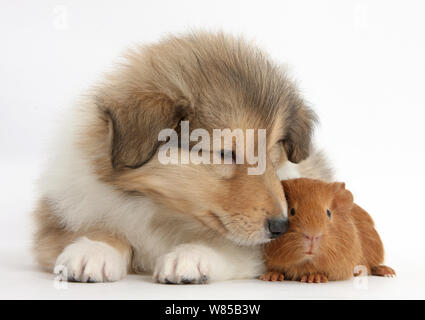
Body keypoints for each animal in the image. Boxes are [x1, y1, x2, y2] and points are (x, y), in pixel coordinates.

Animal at [33, 31, 332, 284]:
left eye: (272, 156)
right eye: (225, 153)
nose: (281, 226)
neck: (164, 212)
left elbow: (228, 245)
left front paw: (190, 256)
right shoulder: (55, 218)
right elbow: (99, 228)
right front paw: (94, 250)